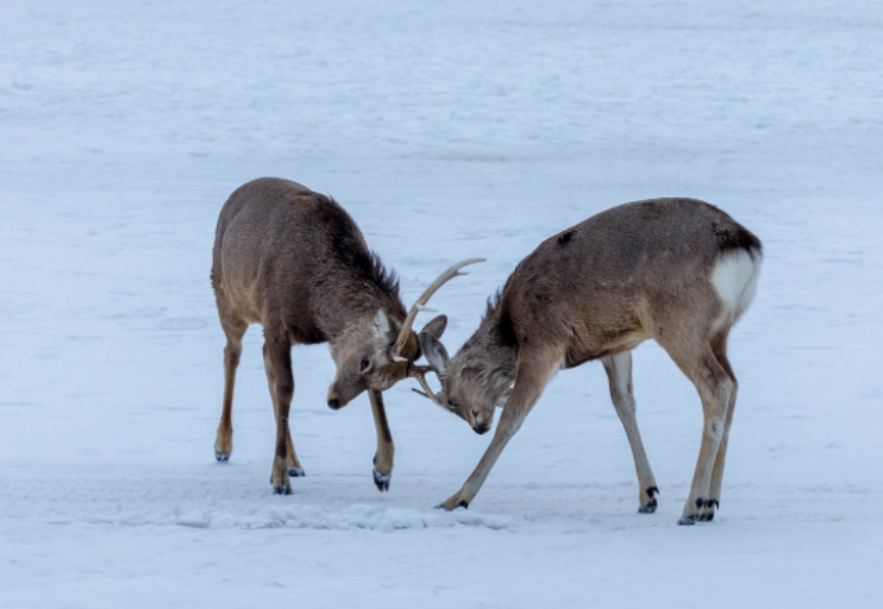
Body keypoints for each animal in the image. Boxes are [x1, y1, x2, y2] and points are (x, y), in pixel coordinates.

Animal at [210, 176, 480, 494]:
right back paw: (223, 446)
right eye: (364, 361)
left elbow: (373, 397)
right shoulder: (275, 319)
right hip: (227, 297)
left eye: (390, 381)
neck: (317, 305)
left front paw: (382, 469)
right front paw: (278, 478)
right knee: (232, 353)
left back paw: (295, 461)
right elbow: (287, 387)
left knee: (264, 360)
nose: (333, 401)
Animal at [414, 198, 768, 524]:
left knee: (717, 385)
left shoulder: (544, 343)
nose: (478, 427)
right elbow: (624, 404)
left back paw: (692, 506)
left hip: (681, 324)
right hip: (718, 330)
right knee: (733, 385)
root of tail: (744, 245)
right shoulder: (616, 345)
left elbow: (512, 419)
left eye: (452, 399)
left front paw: (455, 499)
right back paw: (709, 503)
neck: (512, 330)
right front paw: (648, 495)